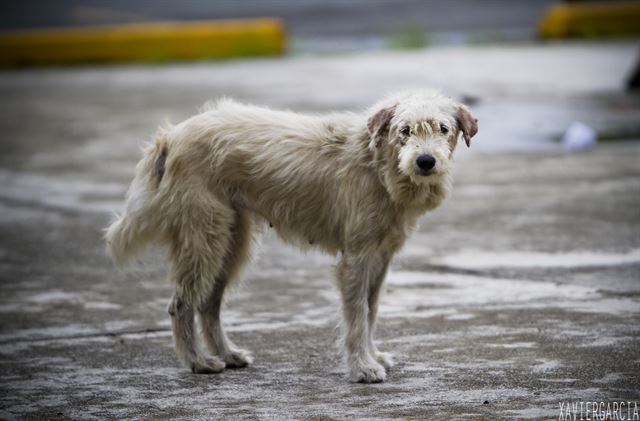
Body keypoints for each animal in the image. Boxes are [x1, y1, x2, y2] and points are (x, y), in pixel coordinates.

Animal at [104, 90, 476, 382]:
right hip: (205, 239)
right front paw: (362, 368)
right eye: (404, 130)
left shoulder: (380, 258)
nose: (425, 161)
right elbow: (357, 316)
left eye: (443, 129)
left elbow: (370, 312)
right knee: (181, 305)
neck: (377, 162)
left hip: (233, 242)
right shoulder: (356, 259)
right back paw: (198, 362)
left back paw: (227, 354)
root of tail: (171, 135)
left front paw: (373, 356)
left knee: (209, 304)